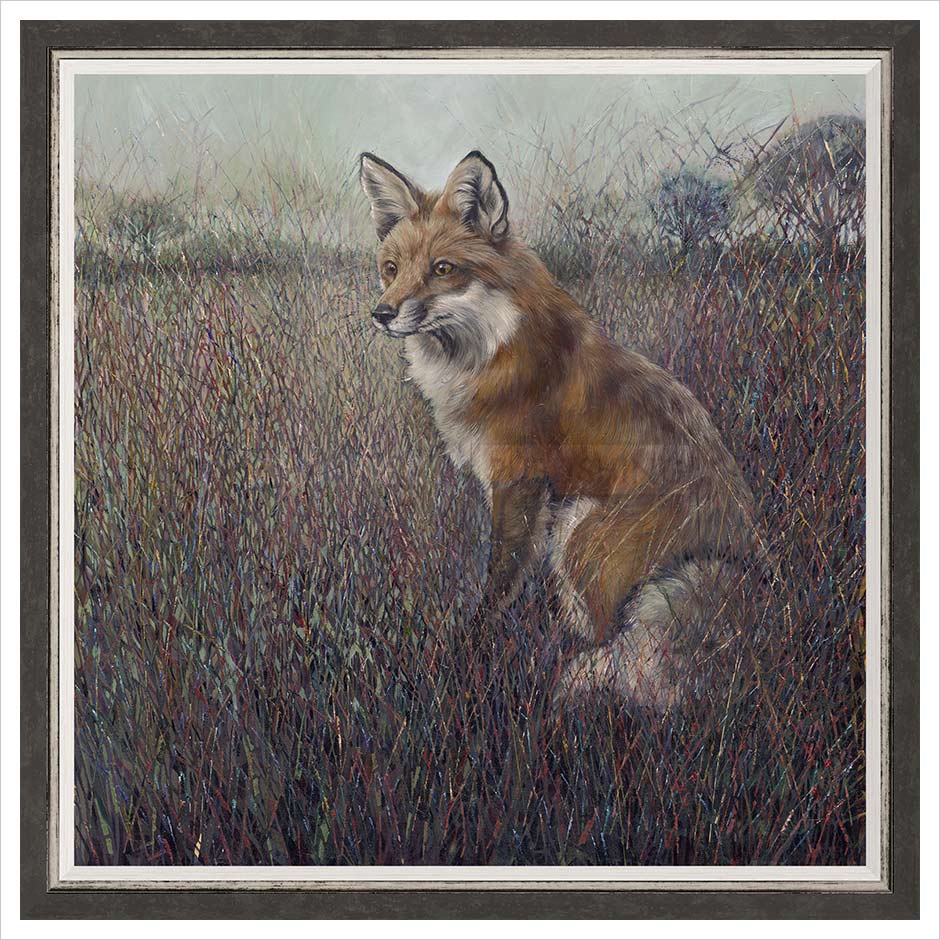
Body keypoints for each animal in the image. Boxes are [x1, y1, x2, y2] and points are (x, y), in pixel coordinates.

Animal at [359, 150, 756, 710]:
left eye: (443, 269)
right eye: (391, 269)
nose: (382, 313)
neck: (492, 347)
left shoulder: (519, 479)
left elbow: (499, 580)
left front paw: (471, 648)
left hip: (581, 532)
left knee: (613, 647)